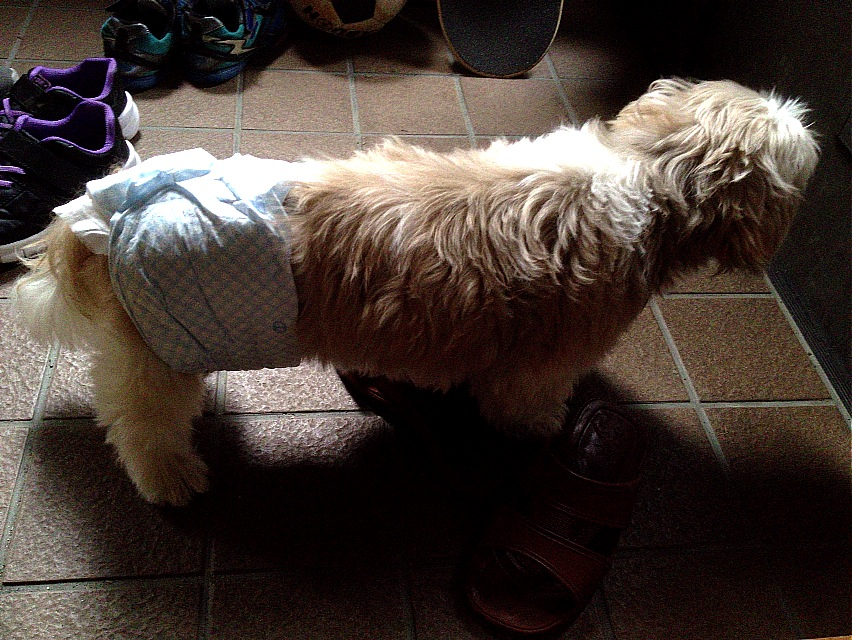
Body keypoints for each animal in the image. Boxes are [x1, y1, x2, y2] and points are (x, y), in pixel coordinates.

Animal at [14, 79, 819, 506]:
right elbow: (525, 404)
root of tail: (114, 216)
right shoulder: (539, 363)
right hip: (163, 352)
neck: (646, 174)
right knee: (140, 426)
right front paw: (542, 428)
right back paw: (172, 477)